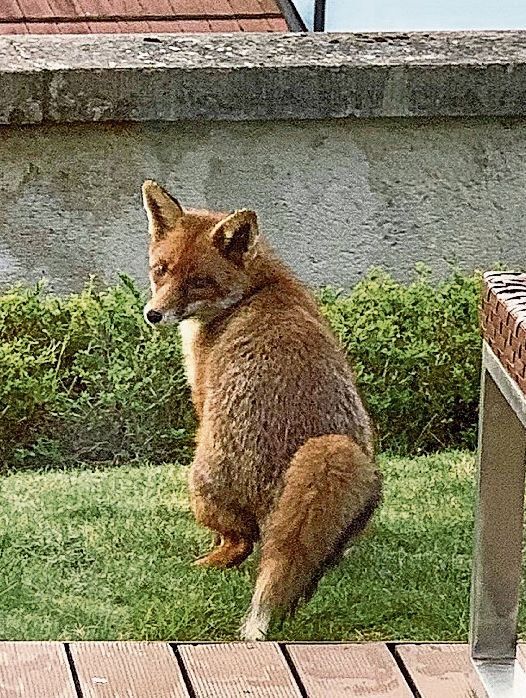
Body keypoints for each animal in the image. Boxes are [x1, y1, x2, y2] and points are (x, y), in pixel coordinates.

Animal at [142, 181, 384, 640]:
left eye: (199, 282)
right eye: (160, 270)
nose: (153, 314)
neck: (256, 290)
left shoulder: (203, 396)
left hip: (200, 481)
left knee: (243, 542)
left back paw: (209, 562)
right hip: (354, 464)